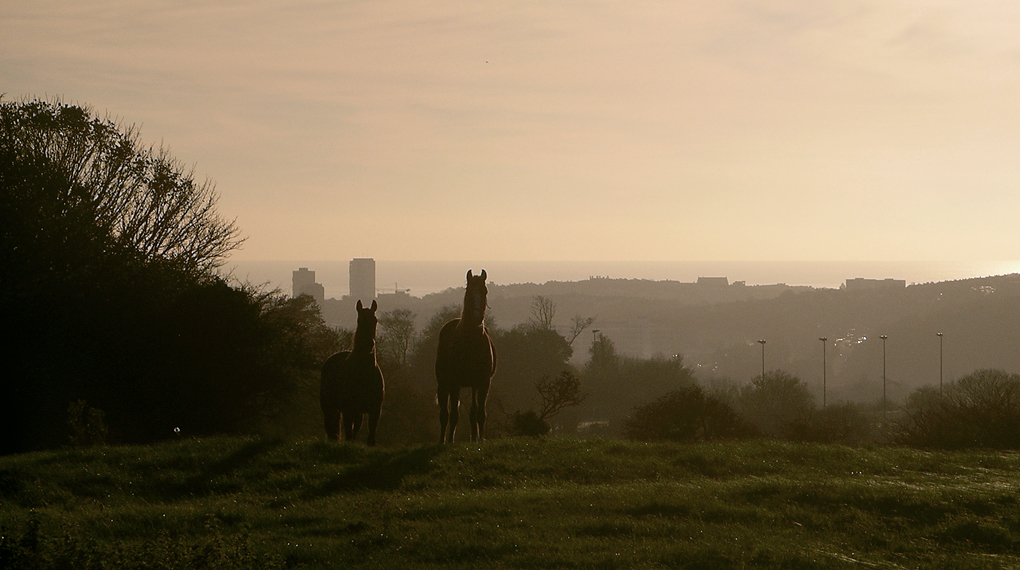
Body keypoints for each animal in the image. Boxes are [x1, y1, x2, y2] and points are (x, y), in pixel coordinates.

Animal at [320, 299, 383, 446]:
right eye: (359, 320)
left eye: (375, 320)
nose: (369, 344)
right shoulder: (348, 410)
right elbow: (348, 433)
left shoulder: (375, 410)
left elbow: (370, 438)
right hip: (329, 407)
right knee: (332, 427)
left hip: (357, 412)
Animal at [436, 269, 495, 444]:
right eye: (468, 292)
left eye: (484, 291)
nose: (476, 317)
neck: (470, 342)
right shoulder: (455, 383)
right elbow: (454, 414)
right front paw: (450, 441)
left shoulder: (483, 382)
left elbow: (480, 413)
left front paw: (481, 439)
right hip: (444, 384)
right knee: (445, 413)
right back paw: (443, 440)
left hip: (473, 385)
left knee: (473, 411)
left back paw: (474, 437)